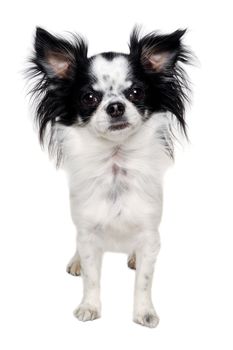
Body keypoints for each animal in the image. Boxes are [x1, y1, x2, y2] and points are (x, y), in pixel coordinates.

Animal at [27, 27, 191, 328]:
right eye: (89, 98)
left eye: (136, 92)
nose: (115, 106)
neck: (115, 165)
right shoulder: (88, 233)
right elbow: (91, 277)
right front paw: (89, 307)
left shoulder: (149, 234)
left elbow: (144, 281)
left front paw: (144, 312)